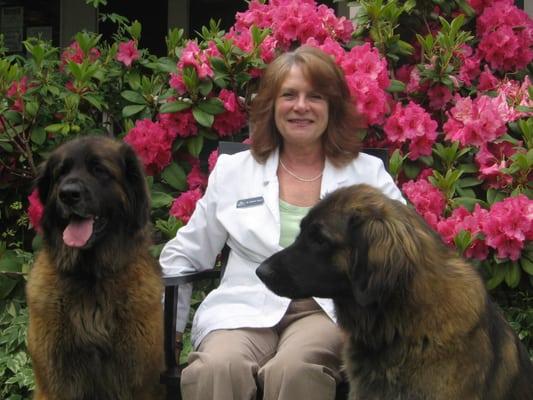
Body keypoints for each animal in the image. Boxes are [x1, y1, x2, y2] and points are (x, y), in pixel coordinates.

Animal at [26, 137, 163, 400]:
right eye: (61, 173)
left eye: (99, 170)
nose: (68, 195)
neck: (90, 277)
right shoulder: (55, 383)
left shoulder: (139, 382)